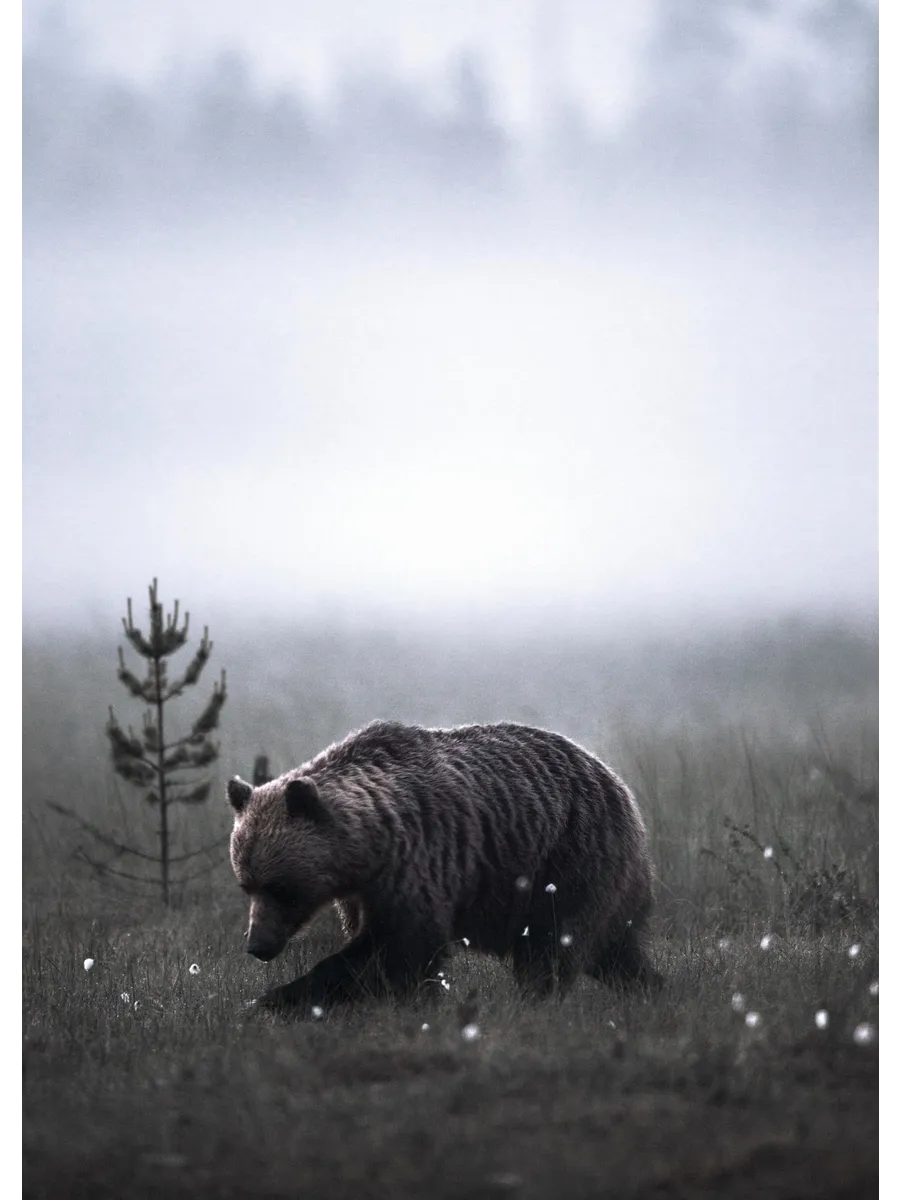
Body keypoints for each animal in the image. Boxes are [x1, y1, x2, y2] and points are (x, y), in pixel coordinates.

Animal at [226, 720, 659, 1013]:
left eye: (282, 888)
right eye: (247, 884)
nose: (258, 946)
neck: (368, 847)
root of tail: (618, 784)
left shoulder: (417, 860)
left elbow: (400, 947)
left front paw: (274, 999)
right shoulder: (360, 892)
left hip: (569, 860)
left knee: (552, 945)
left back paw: (534, 1003)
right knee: (615, 950)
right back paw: (653, 989)